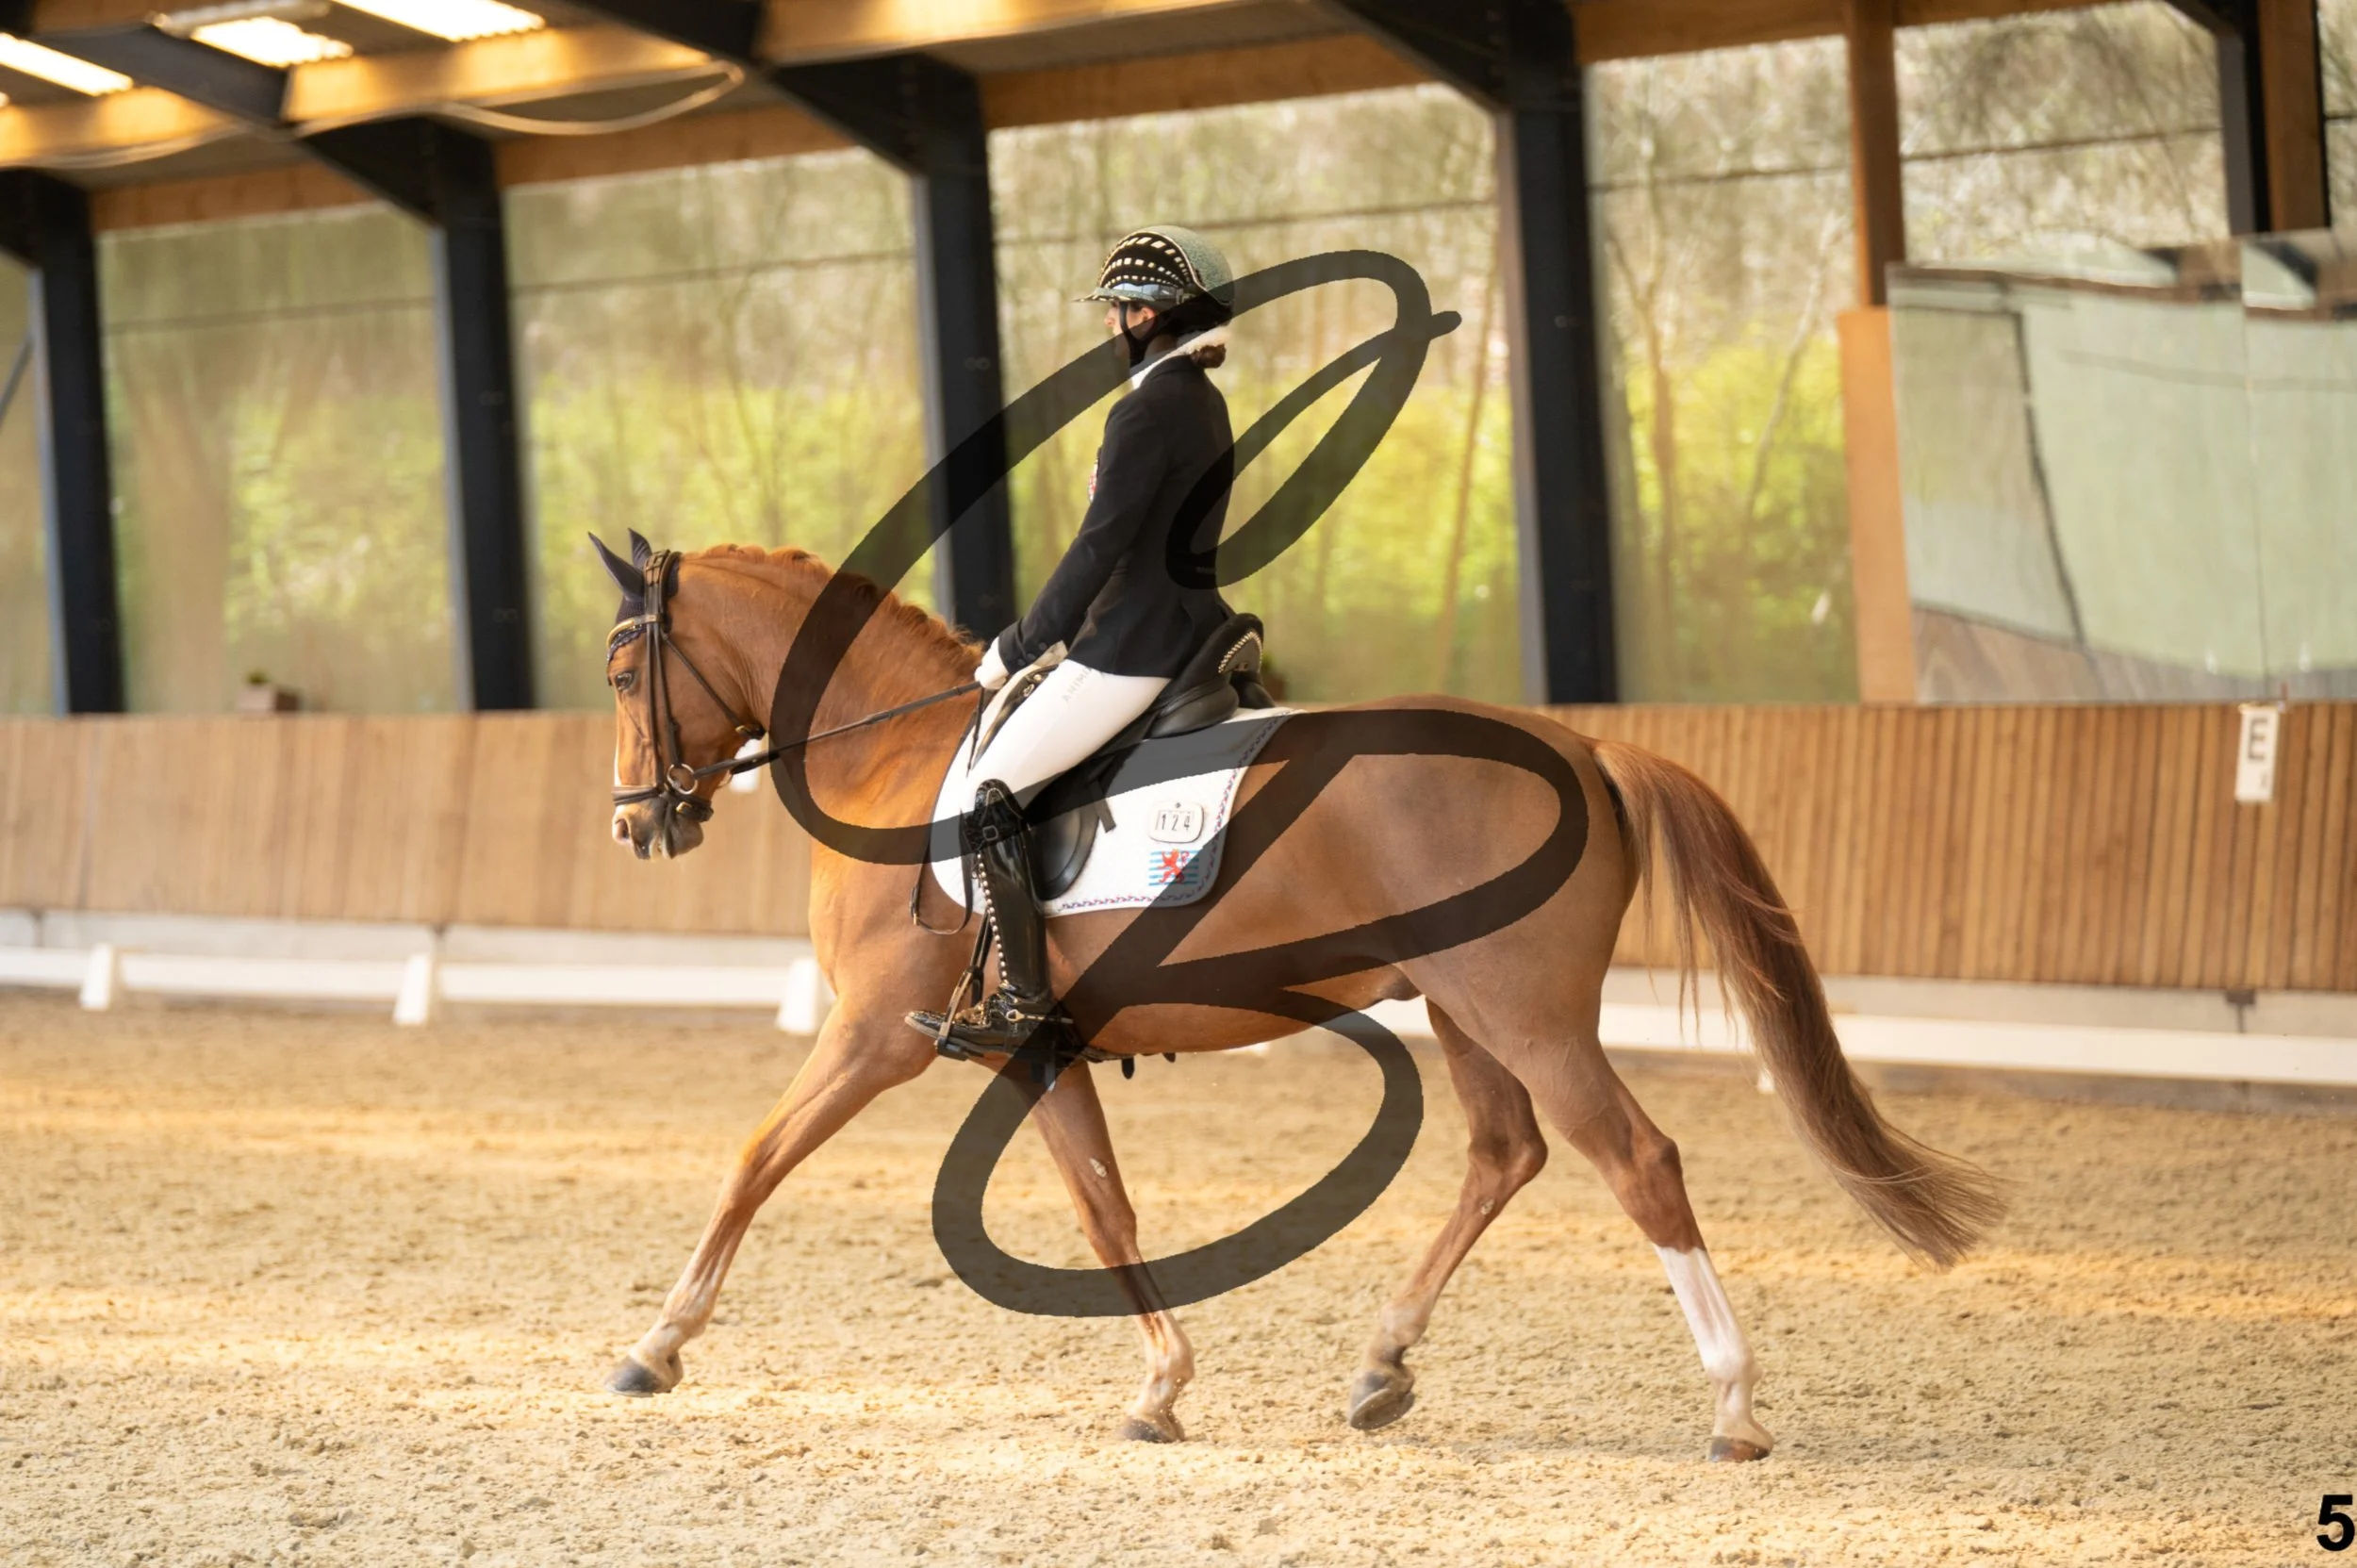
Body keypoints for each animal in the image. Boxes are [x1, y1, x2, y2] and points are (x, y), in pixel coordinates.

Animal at [594, 537, 2002, 1460]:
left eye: (618, 673)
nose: (633, 823)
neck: (891, 755)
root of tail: (1587, 743)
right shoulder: (1031, 1051)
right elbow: (1105, 1208)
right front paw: (1163, 1386)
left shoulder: (872, 1034)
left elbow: (753, 1157)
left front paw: (657, 1342)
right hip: (1460, 1006)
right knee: (1507, 1151)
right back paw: (1382, 1364)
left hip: (1524, 1010)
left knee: (1636, 1158)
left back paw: (1733, 1402)